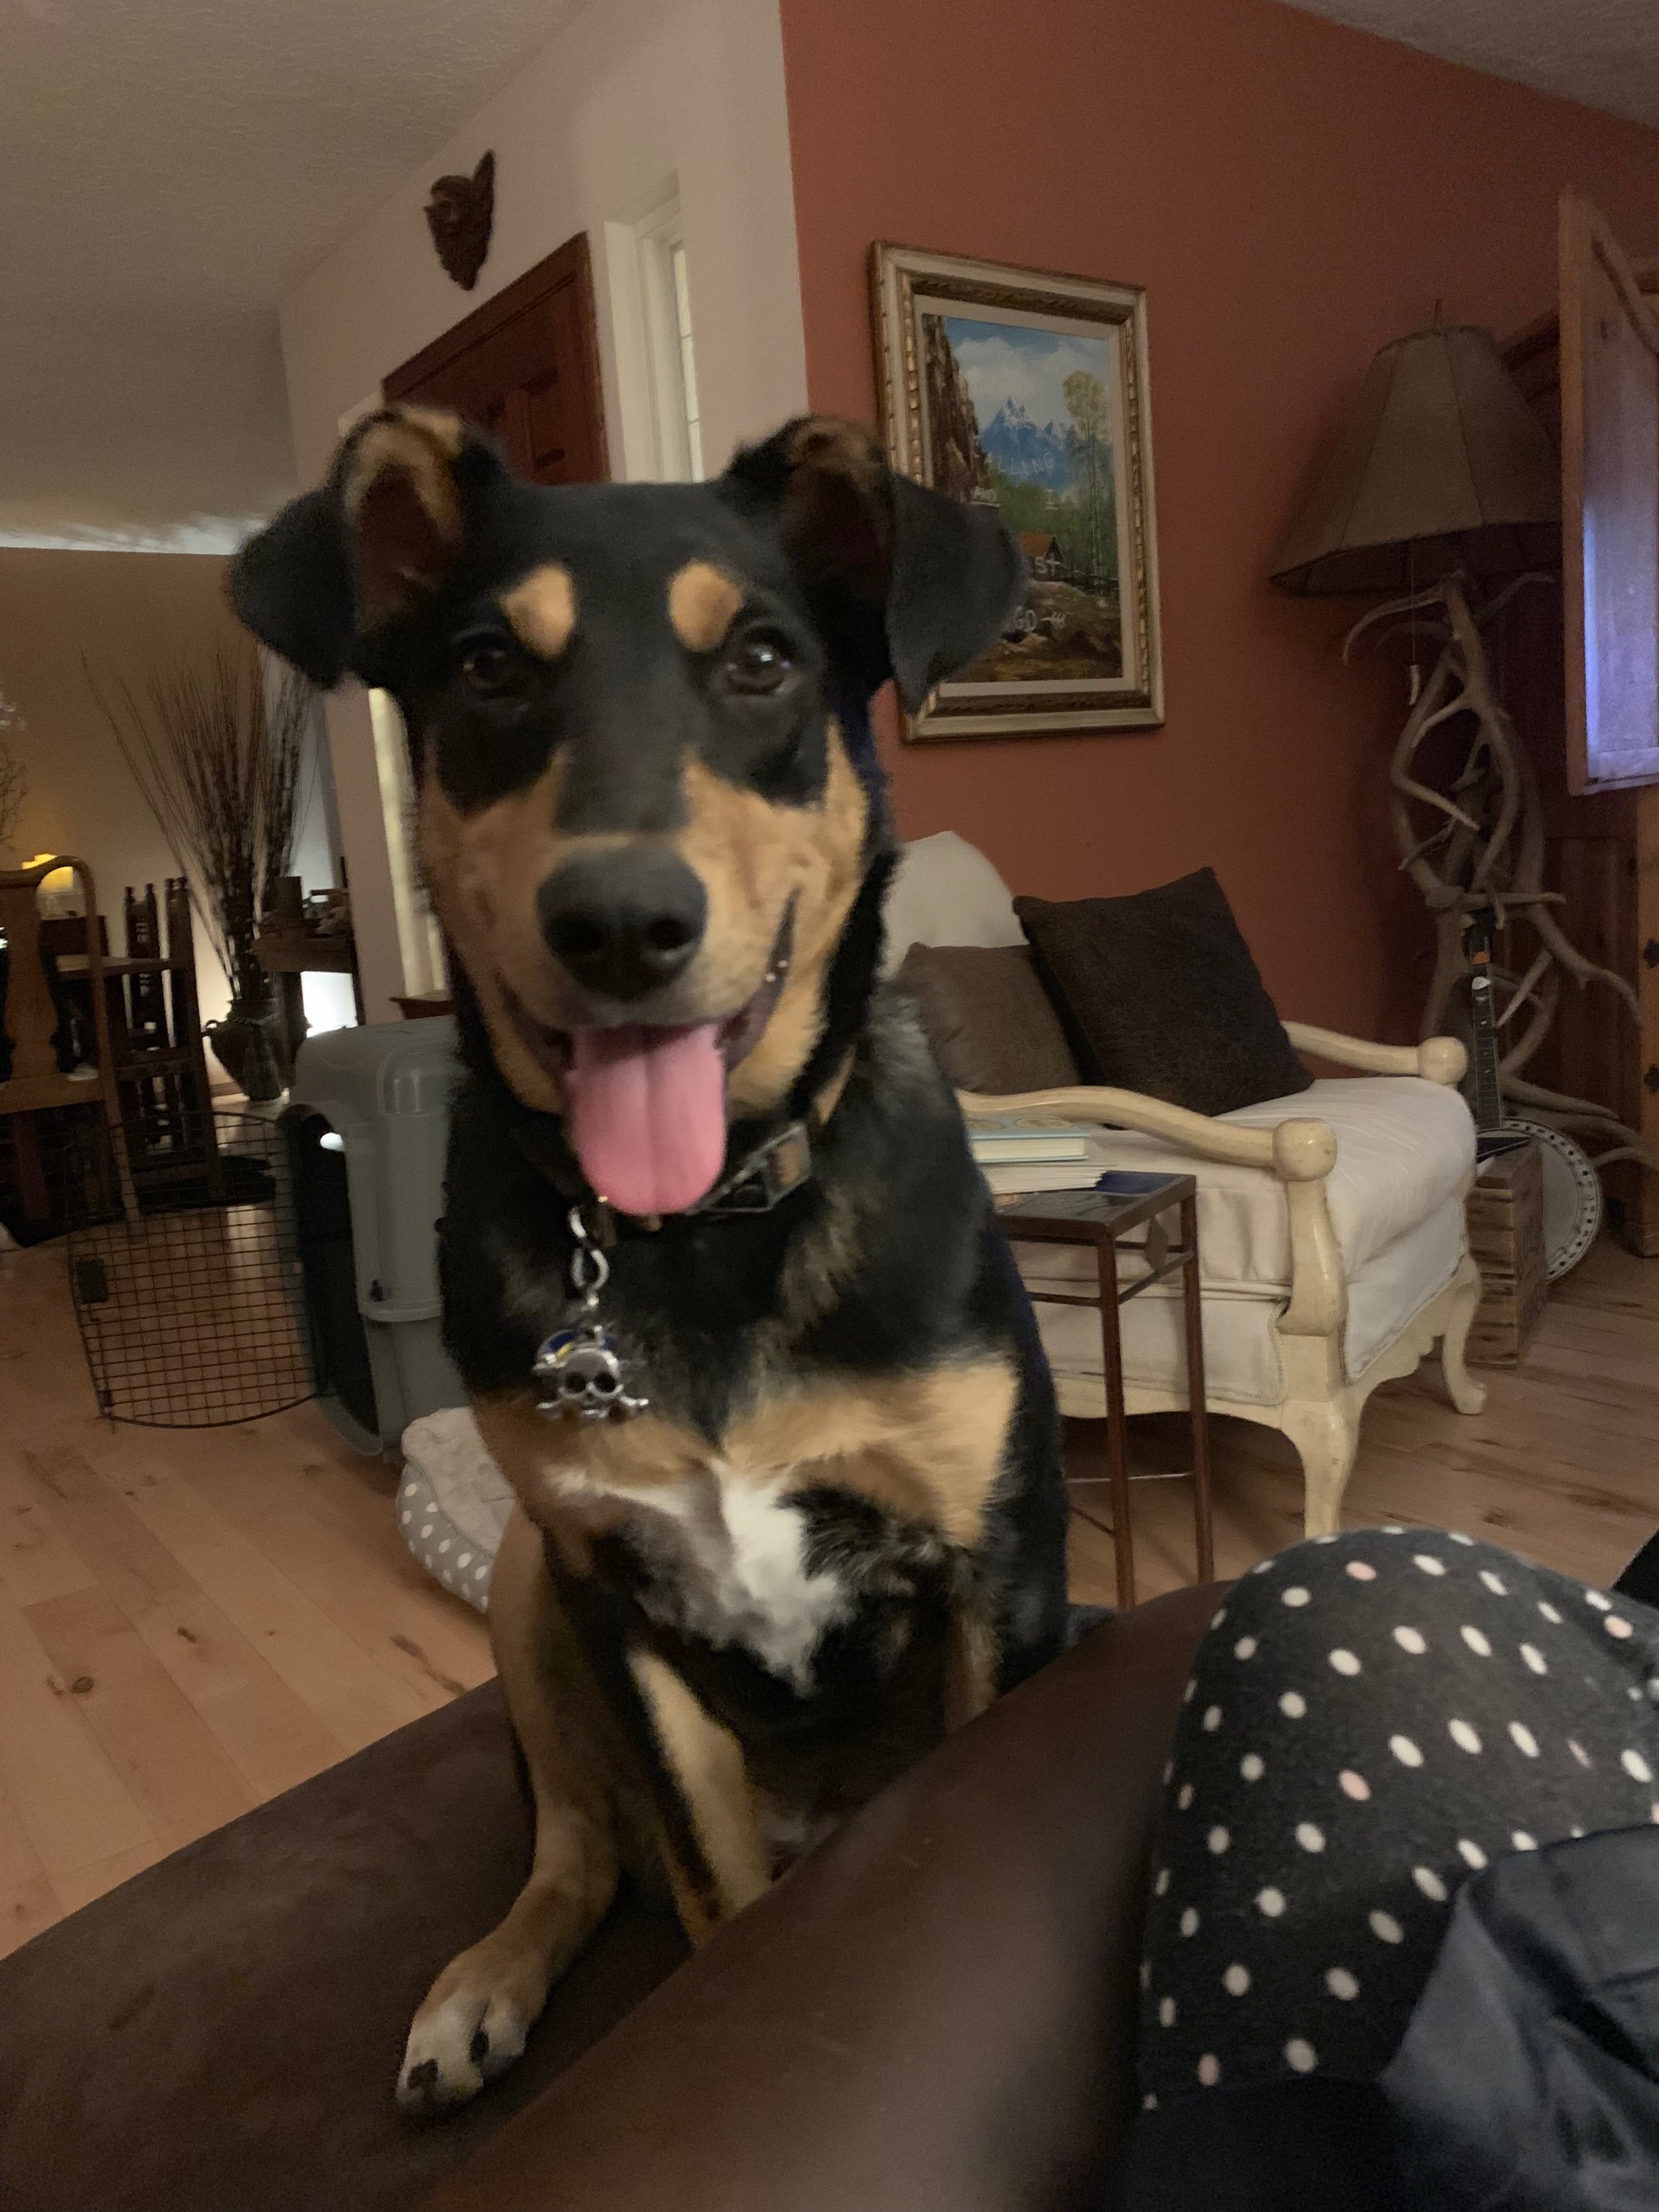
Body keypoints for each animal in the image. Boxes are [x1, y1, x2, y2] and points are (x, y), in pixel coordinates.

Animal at [232, 407, 1069, 2112]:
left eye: (760, 658)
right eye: (486, 665)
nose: (620, 922)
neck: (696, 1230)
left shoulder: (991, 1565)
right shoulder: (613, 1596)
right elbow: (696, 1875)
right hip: (519, 1593)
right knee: (577, 1845)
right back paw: (481, 1986)